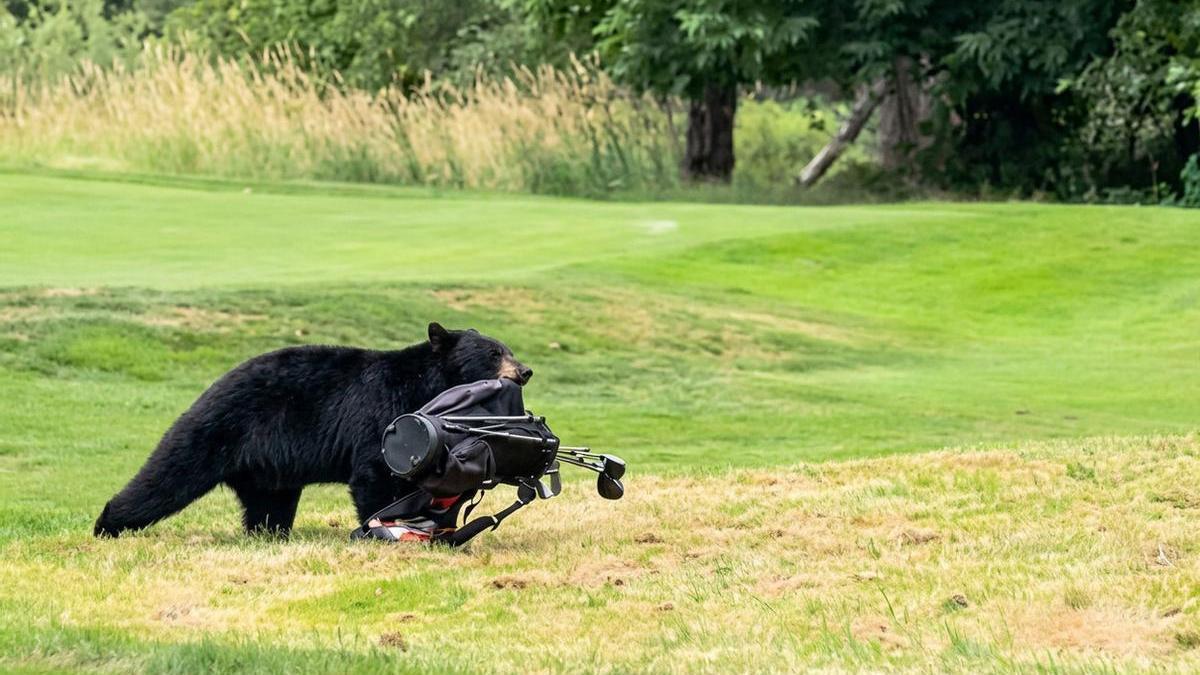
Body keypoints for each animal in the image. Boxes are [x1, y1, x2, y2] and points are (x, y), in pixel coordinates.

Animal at [93, 322, 532, 538]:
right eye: (494, 353)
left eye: (509, 350)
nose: (525, 370)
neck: (428, 384)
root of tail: (210, 389)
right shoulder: (382, 413)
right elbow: (375, 474)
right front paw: (385, 526)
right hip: (215, 432)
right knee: (165, 477)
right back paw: (107, 525)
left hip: (269, 471)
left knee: (268, 506)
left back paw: (269, 535)